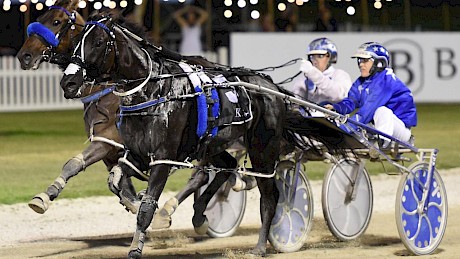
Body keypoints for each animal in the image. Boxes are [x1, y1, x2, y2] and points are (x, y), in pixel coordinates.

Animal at [59, 10, 286, 258]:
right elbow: (115, 182)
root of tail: (270, 84)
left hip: (262, 149)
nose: (68, 82)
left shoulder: (163, 158)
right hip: (211, 144)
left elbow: (147, 208)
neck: (152, 91)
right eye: (76, 40)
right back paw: (200, 216)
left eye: (99, 42)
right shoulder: (135, 154)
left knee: (269, 196)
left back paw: (260, 246)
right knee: (227, 166)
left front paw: (136, 248)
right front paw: (136, 204)